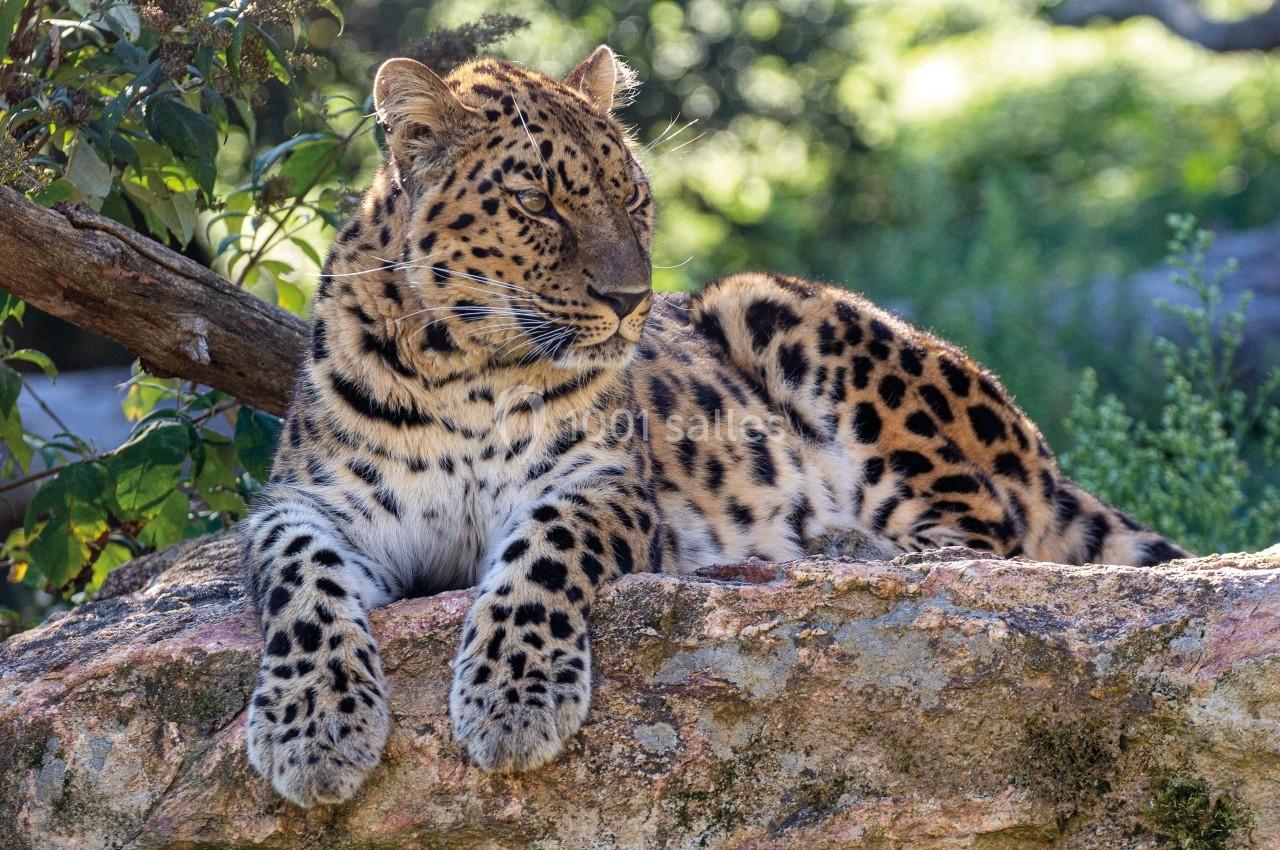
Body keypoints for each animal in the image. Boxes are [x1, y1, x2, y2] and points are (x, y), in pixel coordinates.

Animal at [241, 44, 1187, 803]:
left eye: (633, 198)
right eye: (538, 203)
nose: (633, 301)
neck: (463, 367)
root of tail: (1039, 451)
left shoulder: (602, 483)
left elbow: (540, 556)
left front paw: (514, 700)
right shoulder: (303, 504)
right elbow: (303, 586)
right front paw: (312, 730)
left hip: (771, 308)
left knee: (992, 542)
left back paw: (837, 548)